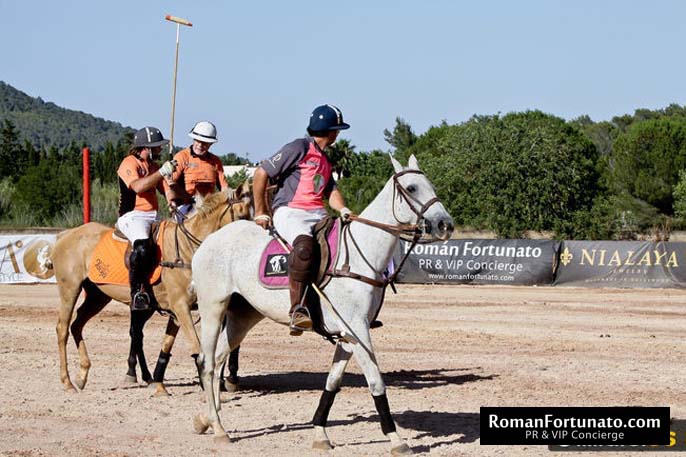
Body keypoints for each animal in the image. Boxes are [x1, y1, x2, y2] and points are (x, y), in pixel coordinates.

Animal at [49, 182, 252, 396]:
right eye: (241, 216)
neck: (188, 250)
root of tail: (64, 235)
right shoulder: (181, 306)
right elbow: (197, 347)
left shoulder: (178, 310)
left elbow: (167, 344)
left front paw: (159, 384)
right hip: (70, 289)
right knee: (63, 328)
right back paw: (67, 382)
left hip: (98, 296)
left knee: (78, 324)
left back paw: (83, 375)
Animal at [190, 155, 453, 455]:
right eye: (411, 188)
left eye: (431, 186)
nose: (445, 224)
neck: (363, 255)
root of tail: (207, 241)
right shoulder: (357, 330)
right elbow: (376, 380)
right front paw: (396, 439)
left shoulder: (349, 334)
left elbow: (333, 382)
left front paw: (320, 434)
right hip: (213, 307)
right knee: (207, 362)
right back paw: (219, 429)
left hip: (243, 315)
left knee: (219, 357)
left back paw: (206, 419)